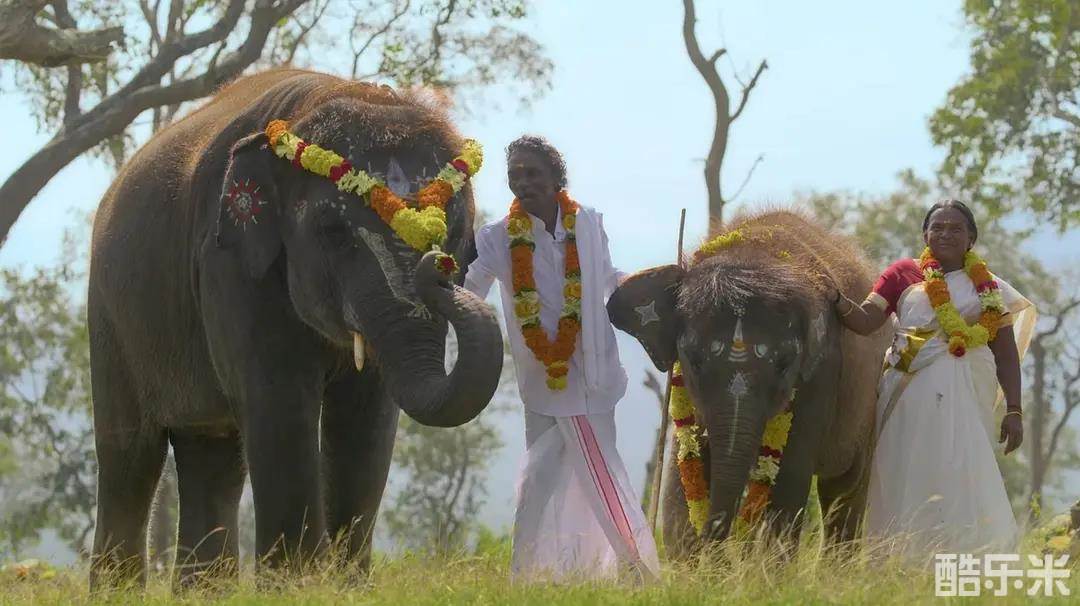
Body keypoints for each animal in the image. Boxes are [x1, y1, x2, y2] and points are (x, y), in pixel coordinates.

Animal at [87, 69, 503, 588]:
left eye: (458, 232)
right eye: (334, 233)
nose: (437, 262)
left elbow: (367, 416)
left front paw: (346, 587)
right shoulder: (228, 264)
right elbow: (279, 399)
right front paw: (297, 584)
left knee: (211, 455)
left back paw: (206, 591)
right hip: (110, 317)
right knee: (129, 457)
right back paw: (116, 590)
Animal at [608, 210, 890, 554]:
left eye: (784, 365)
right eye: (695, 361)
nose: (719, 546)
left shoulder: (823, 372)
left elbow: (789, 475)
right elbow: (682, 466)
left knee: (844, 488)